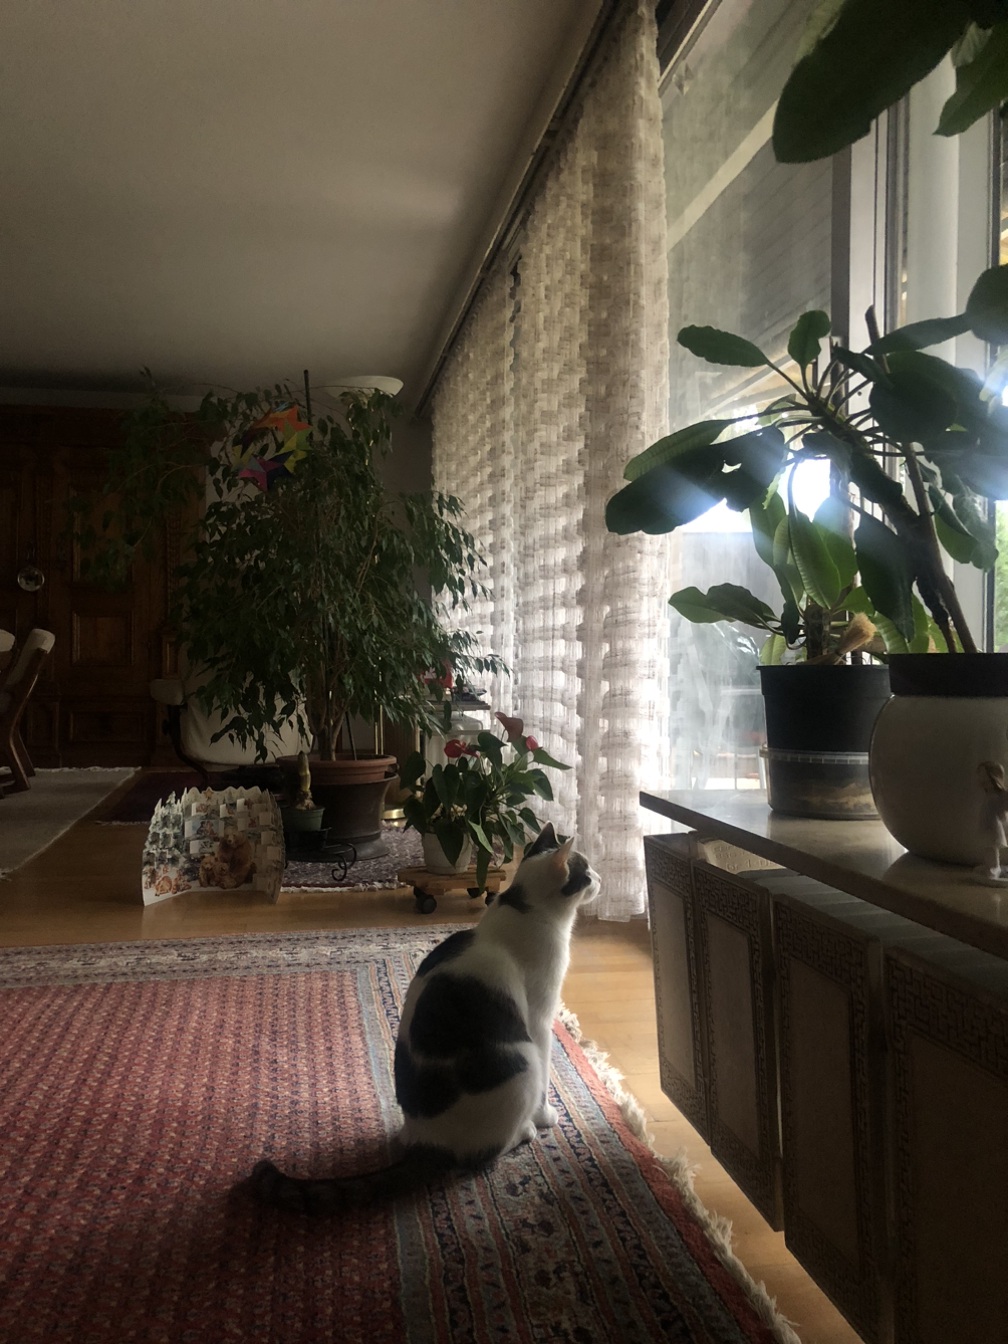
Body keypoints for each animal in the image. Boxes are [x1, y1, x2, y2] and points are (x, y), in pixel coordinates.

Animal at [250, 822, 599, 1214]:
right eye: (586, 873)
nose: (600, 878)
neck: (527, 909)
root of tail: (428, 1142)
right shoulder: (540, 1022)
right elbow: (546, 1081)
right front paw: (547, 1117)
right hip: (521, 1062)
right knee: (481, 1153)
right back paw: (524, 1132)